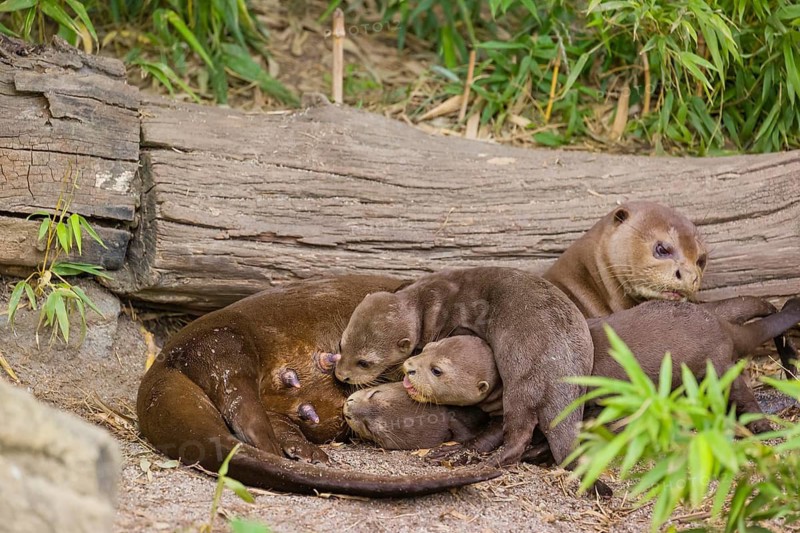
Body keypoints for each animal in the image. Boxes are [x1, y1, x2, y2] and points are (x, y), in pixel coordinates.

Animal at [334, 266, 594, 467]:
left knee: (518, 434)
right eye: (341, 344)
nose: (340, 375)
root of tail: (563, 373)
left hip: (523, 383)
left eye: (365, 362)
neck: (427, 302)